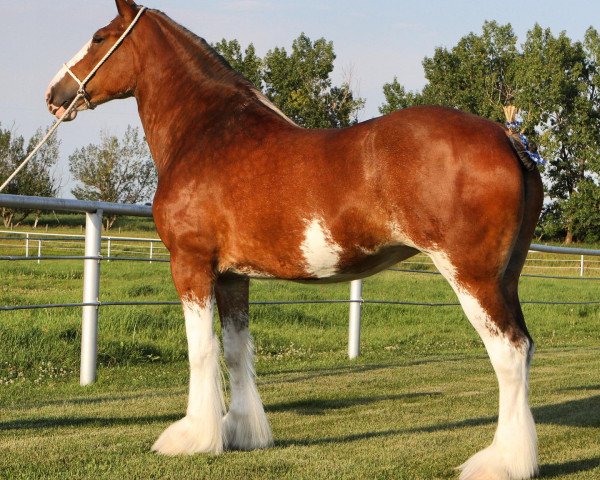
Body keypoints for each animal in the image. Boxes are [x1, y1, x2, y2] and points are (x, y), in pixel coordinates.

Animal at [45, 1, 544, 478]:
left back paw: (501, 463)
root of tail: (507, 136)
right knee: (525, 348)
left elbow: (201, 351)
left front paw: (192, 437)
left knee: (508, 352)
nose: (54, 94)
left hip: (472, 276)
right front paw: (241, 432)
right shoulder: (231, 275)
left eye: (99, 37)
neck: (208, 134)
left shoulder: (190, 264)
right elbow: (235, 351)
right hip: (506, 279)